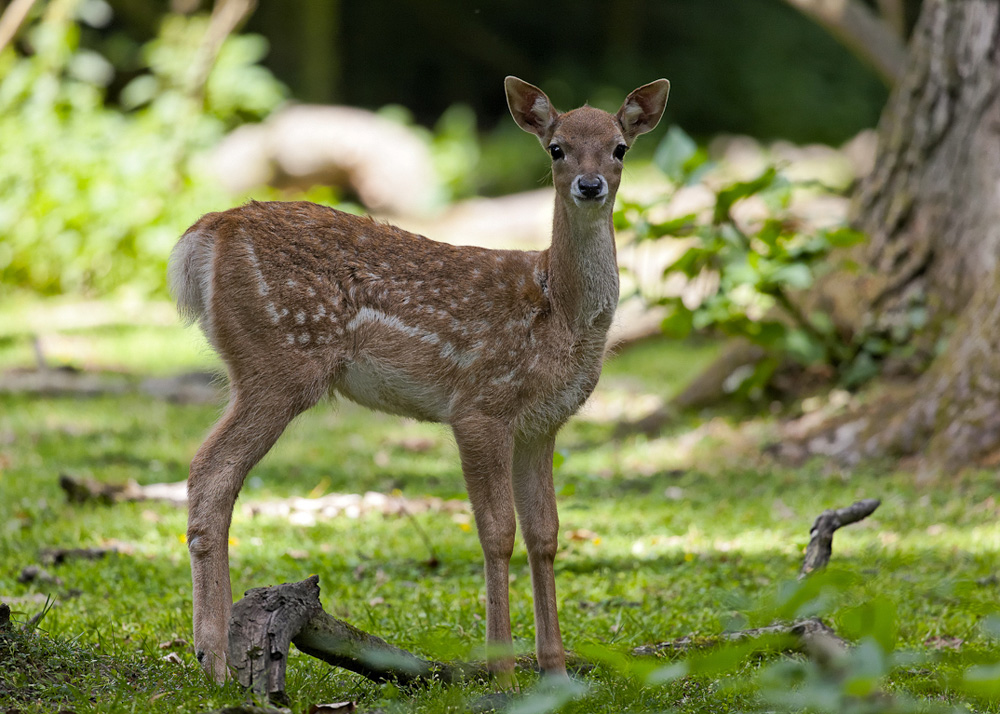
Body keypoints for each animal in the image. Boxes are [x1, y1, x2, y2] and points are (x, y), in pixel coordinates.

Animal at [170, 75, 672, 680]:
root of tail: (204, 234)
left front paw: (555, 671)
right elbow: (496, 534)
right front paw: (503, 671)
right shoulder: (479, 406)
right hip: (278, 362)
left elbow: (545, 534)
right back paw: (215, 660)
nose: (590, 184)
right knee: (210, 471)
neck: (560, 313)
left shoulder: (541, 425)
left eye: (620, 147)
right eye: (557, 148)